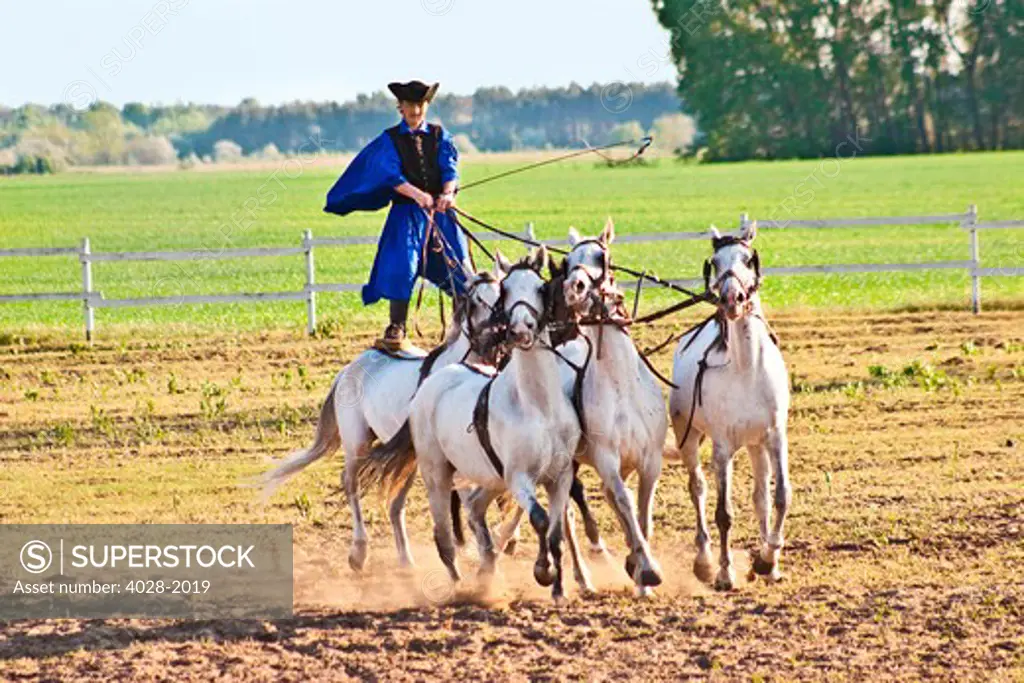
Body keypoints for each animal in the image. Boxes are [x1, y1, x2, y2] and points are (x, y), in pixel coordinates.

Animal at [262, 270, 501, 573]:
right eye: (478, 299)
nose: (501, 329)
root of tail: (349, 369)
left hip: (407, 458)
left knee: (395, 503)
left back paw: (406, 559)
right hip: (357, 442)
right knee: (351, 483)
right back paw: (359, 552)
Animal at [360, 248, 585, 602]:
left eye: (540, 288)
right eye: (506, 290)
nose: (520, 330)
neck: (537, 405)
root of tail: (431, 384)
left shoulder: (560, 476)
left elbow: (555, 532)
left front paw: (559, 590)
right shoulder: (518, 478)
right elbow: (539, 518)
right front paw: (542, 571)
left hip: (490, 479)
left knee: (475, 510)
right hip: (436, 473)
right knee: (443, 535)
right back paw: (459, 585)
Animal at [667, 222, 794, 589]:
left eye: (748, 259)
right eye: (715, 261)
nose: (731, 298)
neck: (747, 369)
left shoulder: (775, 437)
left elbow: (780, 496)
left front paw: (768, 560)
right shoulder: (723, 447)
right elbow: (723, 513)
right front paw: (724, 574)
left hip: (755, 445)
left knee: (761, 498)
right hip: (689, 437)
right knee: (698, 489)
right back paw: (704, 561)